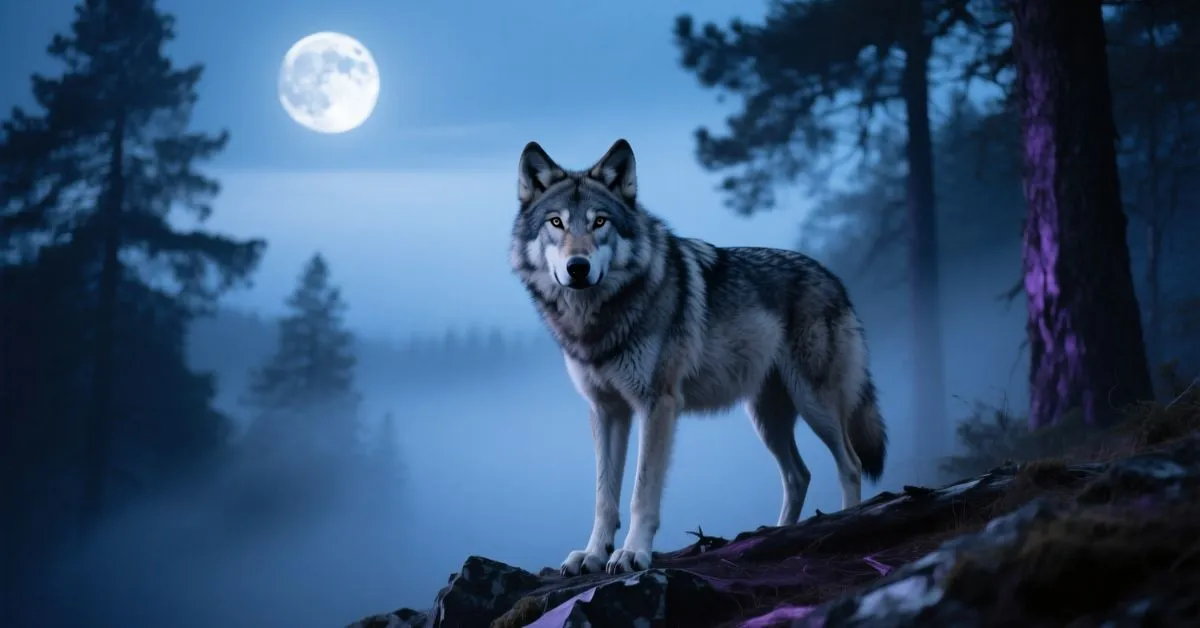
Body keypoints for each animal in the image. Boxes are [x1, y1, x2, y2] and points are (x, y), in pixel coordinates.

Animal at [509, 139, 888, 576]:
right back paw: (778, 535)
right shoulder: (606, 411)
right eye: (556, 223)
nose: (578, 267)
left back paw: (845, 522)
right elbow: (604, 497)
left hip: (814, 405)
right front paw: (592, 554)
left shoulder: (656, 405)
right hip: (767, 418)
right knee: (799, 475)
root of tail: (834, 278)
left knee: (850, 464)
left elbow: (641, 493)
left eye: (599, 222)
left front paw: (632, 553)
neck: (597, 321)